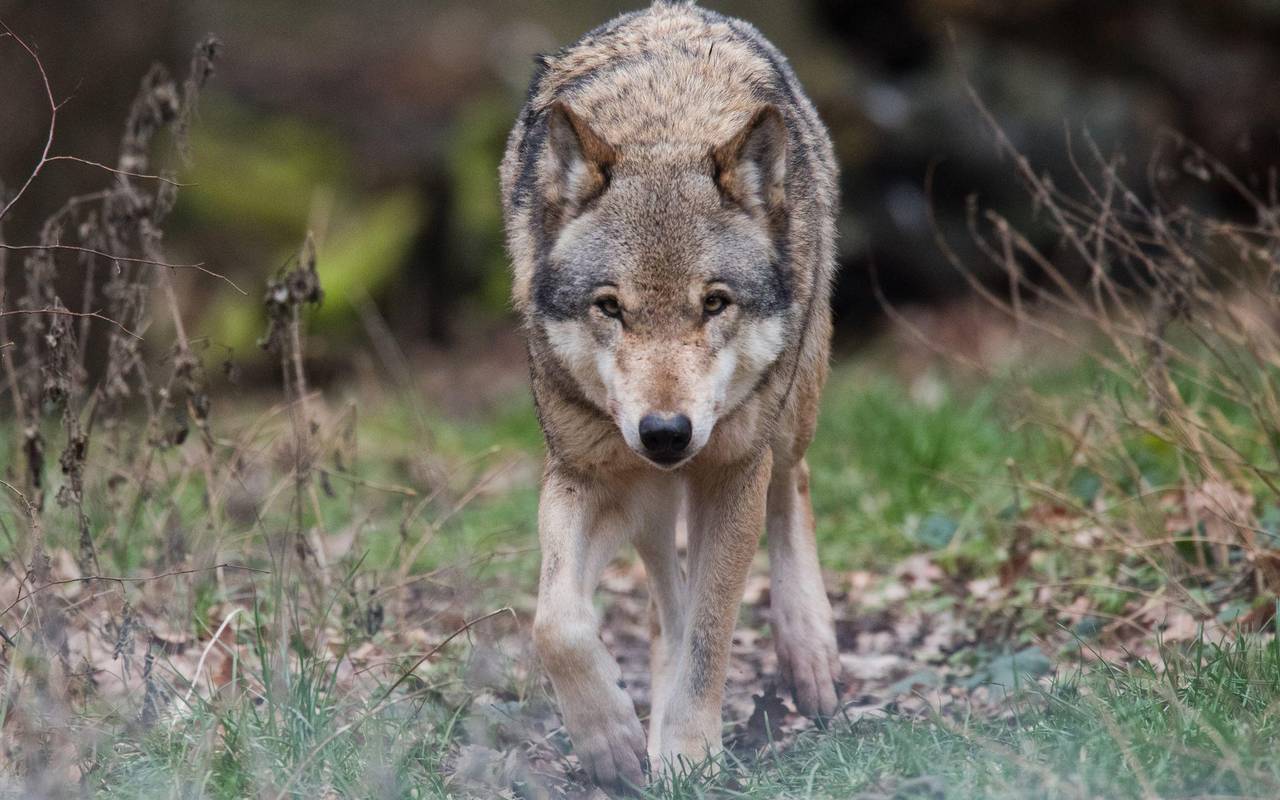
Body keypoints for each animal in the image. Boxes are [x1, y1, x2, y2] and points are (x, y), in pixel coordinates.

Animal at [500, 0, 840, 791]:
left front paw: (686, 753)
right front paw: (613, 741)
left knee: (793, 485)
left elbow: (712, 636)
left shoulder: (732, 474)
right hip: (647, 497)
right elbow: (556, 623)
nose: (665, 432)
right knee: (664, 595)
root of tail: (674, 9)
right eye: (610, 307)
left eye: (714, 303)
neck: (665, 128)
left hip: (788, 413)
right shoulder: (586, 473)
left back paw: (810, 655)